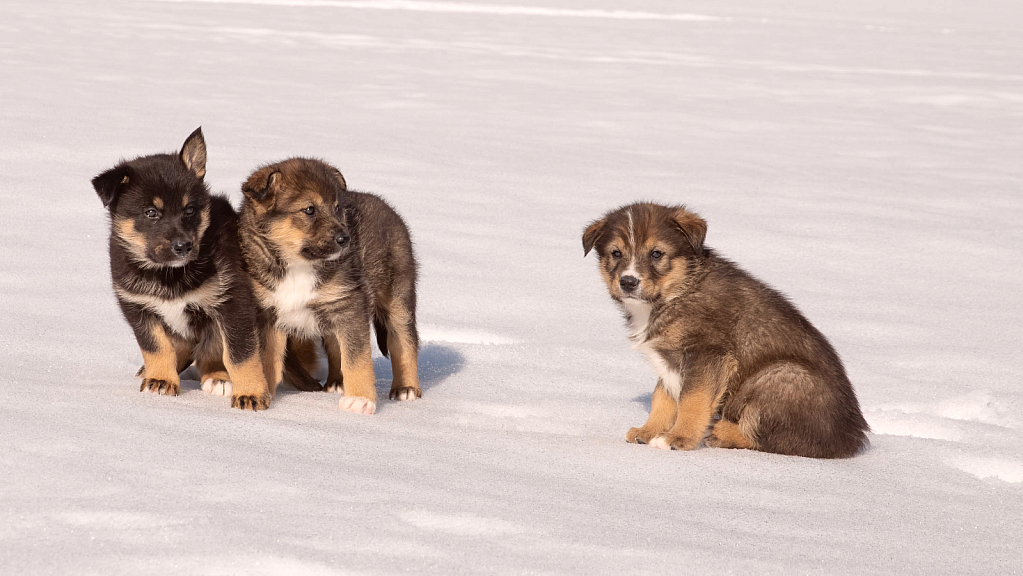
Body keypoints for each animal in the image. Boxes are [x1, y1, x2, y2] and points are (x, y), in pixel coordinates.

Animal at [91, 128, 272, 413]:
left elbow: (240, 353)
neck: (168, 274)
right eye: (151, 212)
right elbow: (156, 346)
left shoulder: (233, 301)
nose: (183, 246)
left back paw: (218, 379)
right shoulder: (136, 305)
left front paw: (251, 393)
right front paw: (161, 380)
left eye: (190, 210)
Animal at [236, 157, 419, 415]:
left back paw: (407, 389)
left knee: (405, 340)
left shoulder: (350, 305)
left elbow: (357, 358)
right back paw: (336, 383)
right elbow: (268, 359)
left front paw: (360, 400)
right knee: (335, 345)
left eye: (337, 208)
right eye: (309, 209)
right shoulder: (268, 313)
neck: (298, 266)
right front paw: (263, 394)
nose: (345, 239)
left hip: (397, 298)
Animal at [589, 202, 867, 460]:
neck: (678, 292)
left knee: (774, 438)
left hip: (782, 375)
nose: (628, 281)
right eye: (616, 253)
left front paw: (678, 438)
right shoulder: (669, 361)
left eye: (656, 254)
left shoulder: (707, 353)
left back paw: (719, 430)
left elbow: (692, 399)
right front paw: (648, 431)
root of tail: (852, 439)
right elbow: (663, 397)